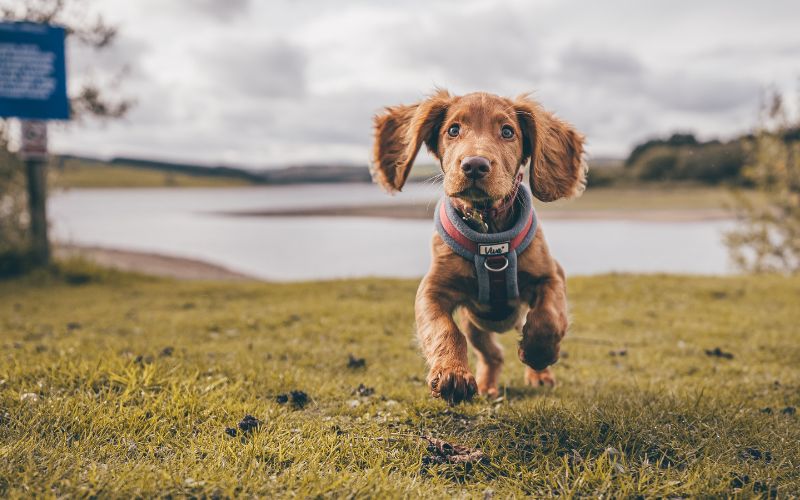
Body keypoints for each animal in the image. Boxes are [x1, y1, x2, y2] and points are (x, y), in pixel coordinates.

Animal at [370, 90, 588, 402]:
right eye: (453, 130)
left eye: (507, 132)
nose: (474, 165)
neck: (489, 230)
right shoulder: (432, 290)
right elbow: (443, 329)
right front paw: (452, 374)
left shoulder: (552, 275)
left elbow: (548, 317)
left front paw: (538, 353)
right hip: (475, 325)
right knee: (492, 354)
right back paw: (487, 386)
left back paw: (540, 376)